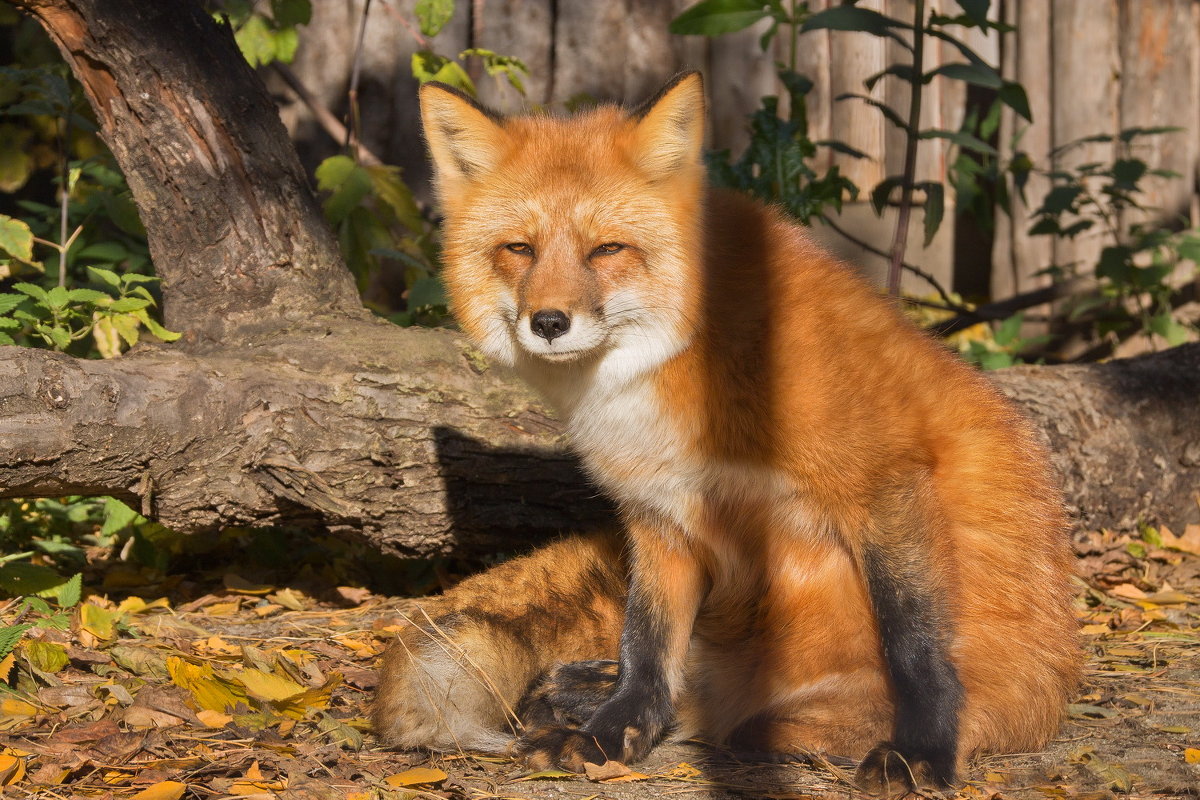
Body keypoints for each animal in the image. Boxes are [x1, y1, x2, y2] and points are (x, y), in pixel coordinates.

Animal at [372, 70, 1080, 796]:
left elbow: (913, 642)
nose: (548, 322)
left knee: (747, 717)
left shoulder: (883, 473)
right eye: (520, 249)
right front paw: (613, 733)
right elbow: (645, 646)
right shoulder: (658, 515)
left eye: (607, 249)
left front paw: (923, 752)